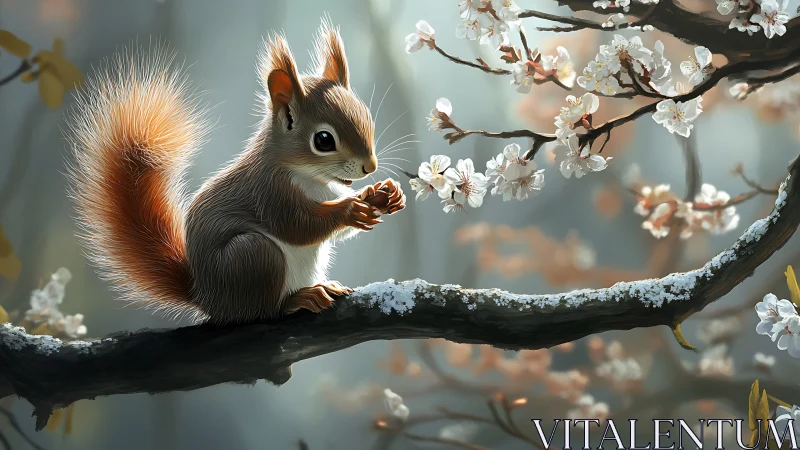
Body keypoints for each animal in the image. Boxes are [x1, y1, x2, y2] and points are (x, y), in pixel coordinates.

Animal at [64, 20, 406, 325]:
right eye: (324, 140)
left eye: (367, 118)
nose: (370, 167)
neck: (310, 179)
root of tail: (208, 298)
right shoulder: (267, 190)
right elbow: (297, 226)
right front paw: (350, 209)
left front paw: (381, 195)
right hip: (253, 258)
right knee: (262, 310)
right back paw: (298, 298)